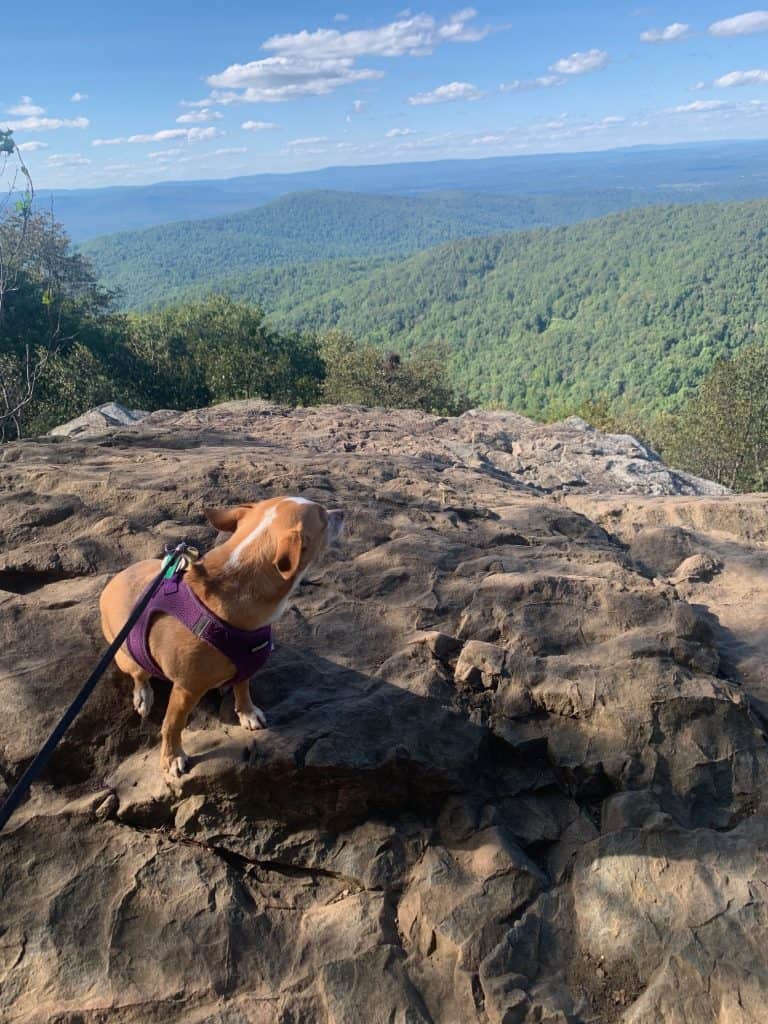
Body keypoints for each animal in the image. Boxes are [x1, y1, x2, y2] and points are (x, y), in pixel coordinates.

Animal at [99, 495, 346, 774]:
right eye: (324, 518)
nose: (342, 512)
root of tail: (112, 582)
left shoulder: (247, 661)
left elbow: (243, 686)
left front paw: (247, 712)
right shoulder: (186, 689)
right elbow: (172, 724)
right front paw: (172, 756)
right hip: (128, 657)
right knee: (140, 675)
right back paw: (143, 695)